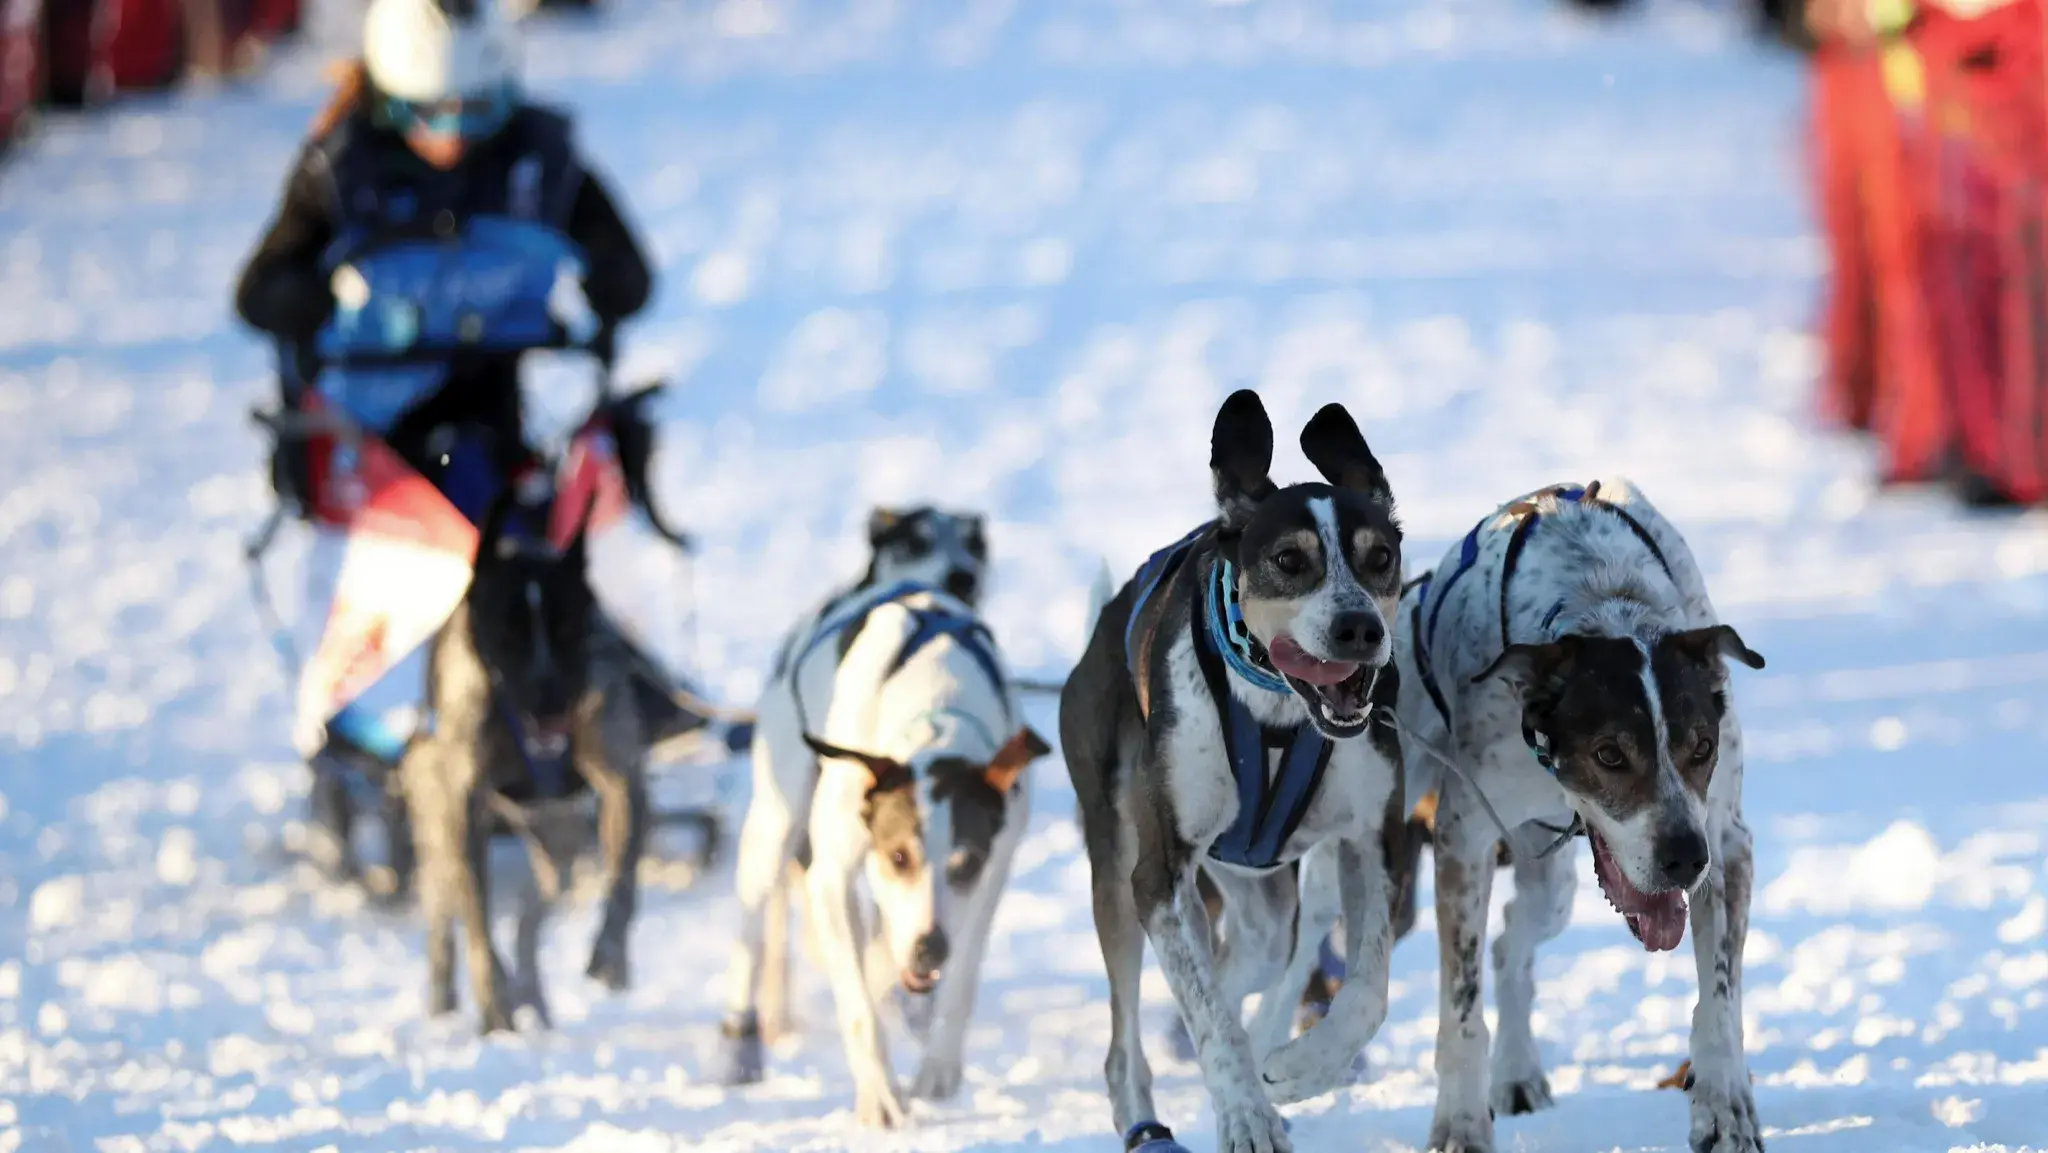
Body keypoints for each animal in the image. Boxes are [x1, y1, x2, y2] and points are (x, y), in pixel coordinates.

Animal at [399, 495, 647, 1036]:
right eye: (506, 632)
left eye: (568, 627)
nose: (550, 701)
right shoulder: (464, 805)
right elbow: (477, 926)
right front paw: (495, 1009)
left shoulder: (622, 781)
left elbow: (623, 881)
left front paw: (611, 955)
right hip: (436, 827)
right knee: (446, 915)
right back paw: (450, 1002)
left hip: (558, 847)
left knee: (531, 918)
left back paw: (533, 993)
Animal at [716, 505, 1048, 1130]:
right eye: (898, 855)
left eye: (966, 863)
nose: (928, 950)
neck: (937, 713)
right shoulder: (832, 877)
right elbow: (858, 1006)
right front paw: (881, 1097)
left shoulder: (992, 872)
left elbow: (960, 977)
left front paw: (939, 1067)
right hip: (774, 826)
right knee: (752, 932)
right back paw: (739, 1046)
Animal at [1056, 391, 1409, 1153]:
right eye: (1289, 559)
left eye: (1381, 557)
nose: (1360, 628)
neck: (1277, 714)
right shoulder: (1158, 876)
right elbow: (1210, 1019)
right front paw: (1246, 1113)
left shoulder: (1373, 840)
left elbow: (1367, 993)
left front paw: (1302, 1068)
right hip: (1117, 871)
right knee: (1128, 1044)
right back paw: (1148, 1120)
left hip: (1260, 896)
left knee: (1246, 961)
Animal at [1400, 479, 1769, 1153]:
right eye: (1609, 754)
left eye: (1702, 746)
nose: (1684, 858)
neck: (1607, 598)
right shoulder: (1464, 842)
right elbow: (1461, 1011)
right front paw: (1461, 1124)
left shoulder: (1727, 843)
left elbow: (1720, 1000)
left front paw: (1725, 1106)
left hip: (1557, 887)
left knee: (1510, 941)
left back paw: (1518, 1071)